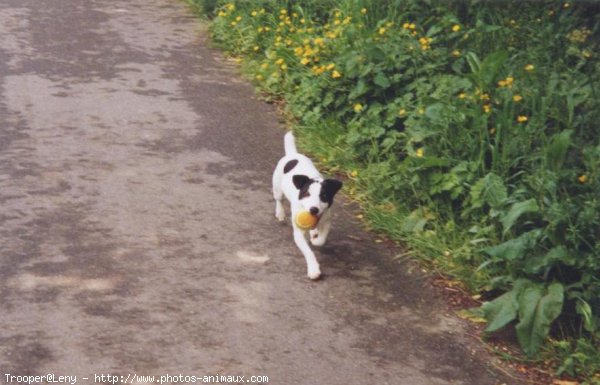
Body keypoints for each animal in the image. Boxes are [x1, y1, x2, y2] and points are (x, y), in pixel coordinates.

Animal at [272, 132, 342, 280]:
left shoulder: (327, 220)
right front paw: (314, 269)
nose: (313, 209)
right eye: (306, 194)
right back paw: (280, 213)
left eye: (324, 196)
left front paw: (316, 239)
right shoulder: (298, 233)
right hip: (277, 188)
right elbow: (308, 251)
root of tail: (293, 154)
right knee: (279, 200)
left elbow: (322, 239)